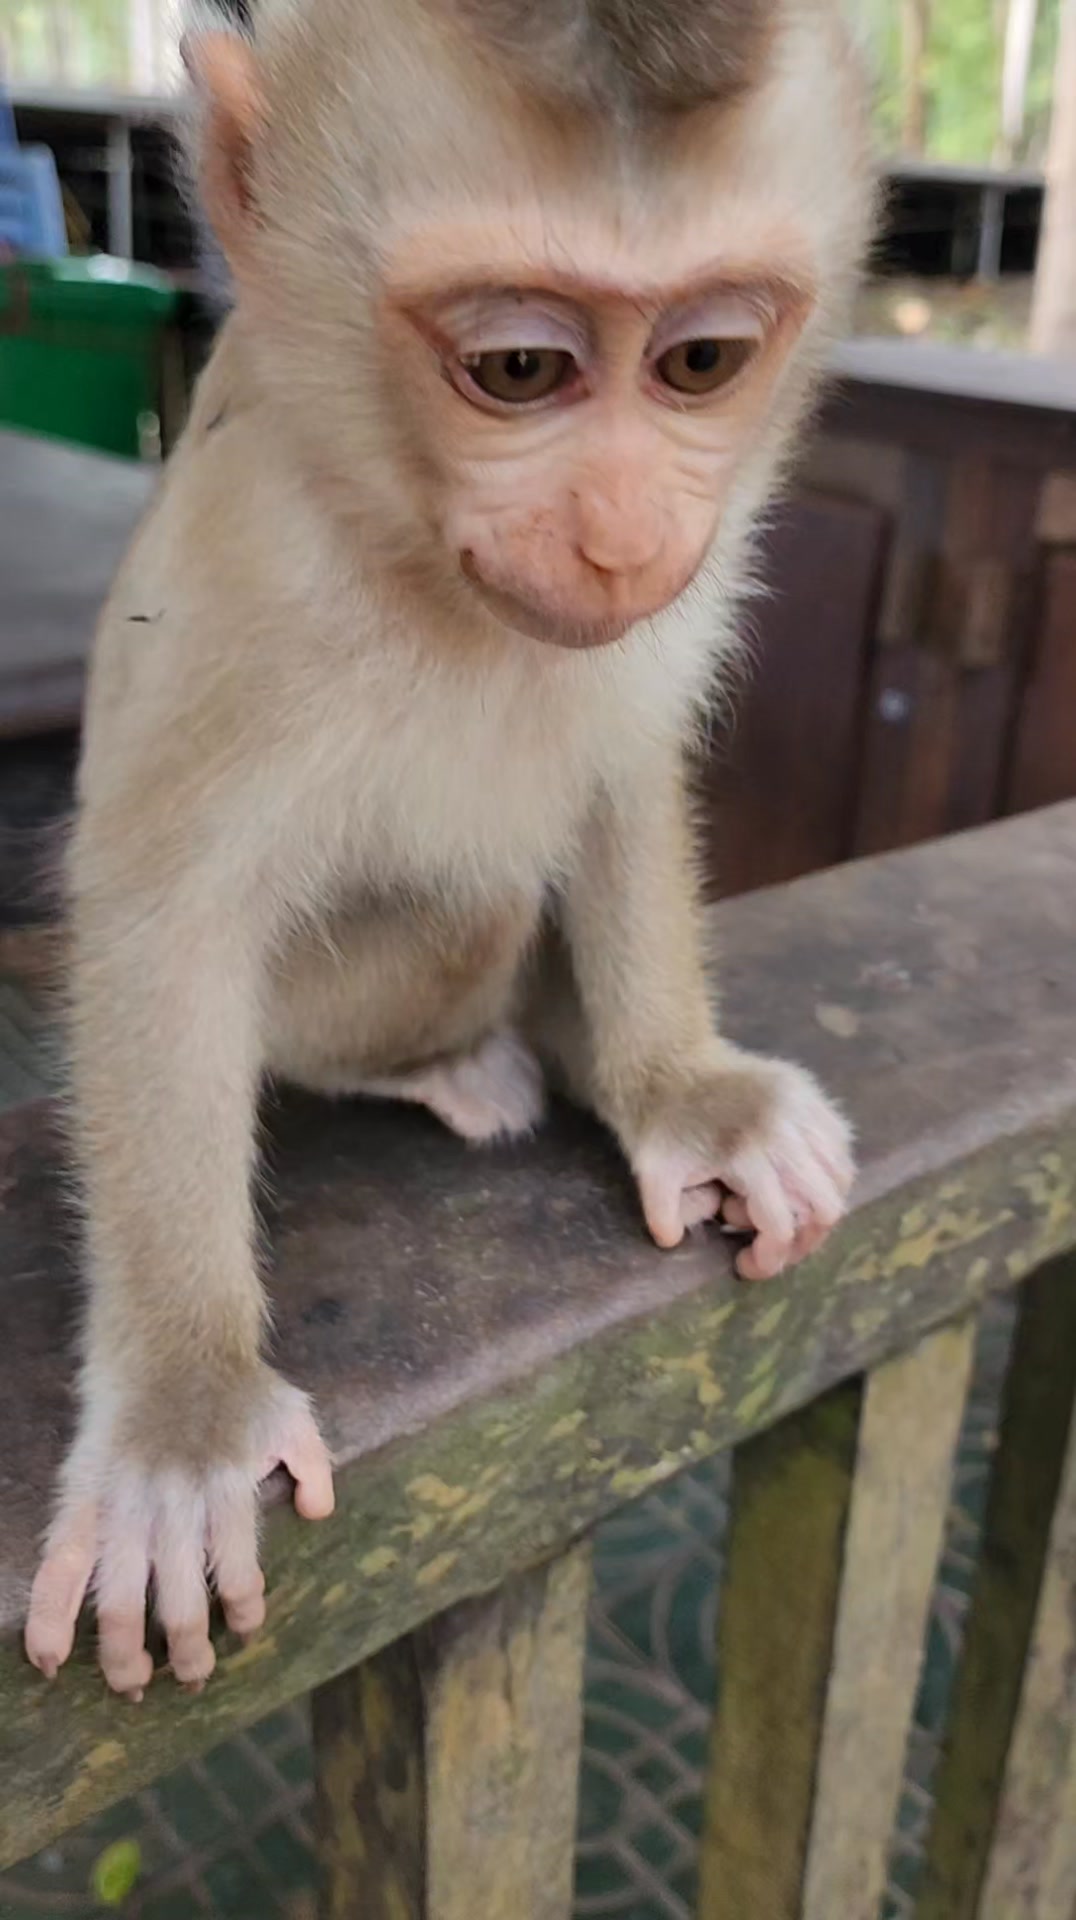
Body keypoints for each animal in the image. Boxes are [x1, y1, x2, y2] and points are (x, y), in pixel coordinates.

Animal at [24, 0, 874, 1696]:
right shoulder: (253, 565)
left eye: (700, 361)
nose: (620, 537)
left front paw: (676, 1088)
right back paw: (436, 1064)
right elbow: (162, 910)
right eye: (519, 368)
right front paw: (183, 1415)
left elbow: (620, 764)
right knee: (449, 922)